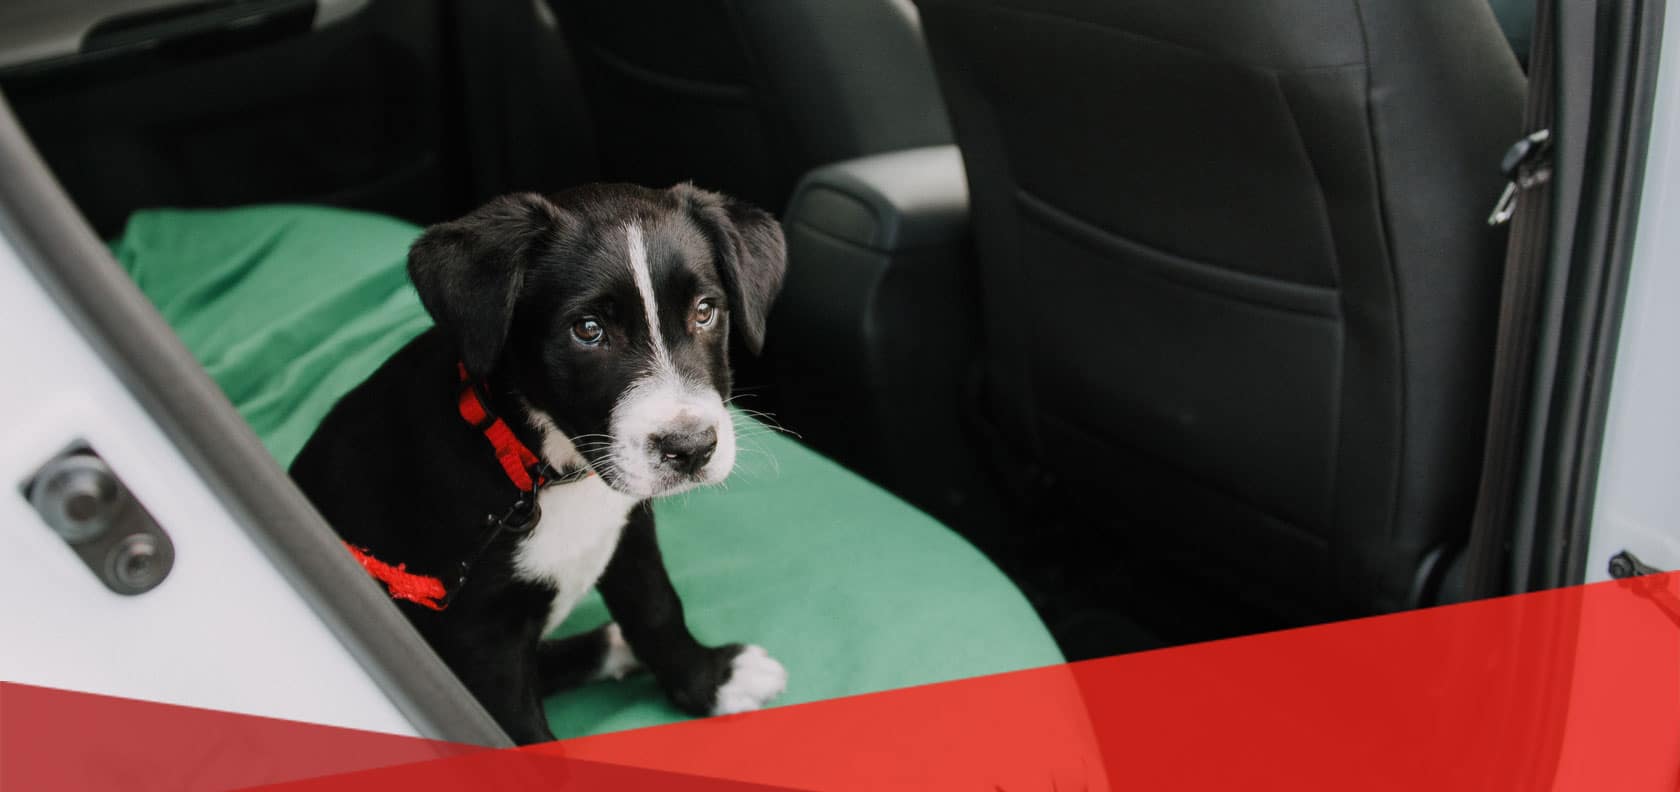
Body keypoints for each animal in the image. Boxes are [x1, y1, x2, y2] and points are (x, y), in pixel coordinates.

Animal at [288, 184, 786, 743]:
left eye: (705, 311)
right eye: (587, 330)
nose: (692, 448)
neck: (551, 473)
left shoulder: (629, 530)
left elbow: (657, 608)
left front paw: (709, 679)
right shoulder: (481, 636)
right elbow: (518, 730)